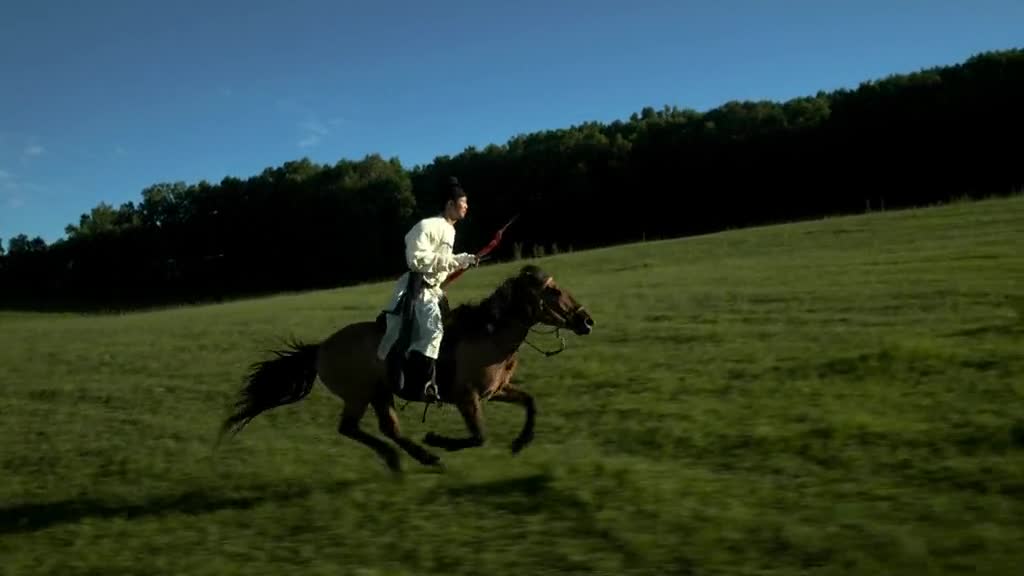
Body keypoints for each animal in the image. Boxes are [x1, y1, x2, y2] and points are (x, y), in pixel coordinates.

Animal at [220, 264, 598, 471]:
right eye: (553, 291)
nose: (587, 321)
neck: (488, 333)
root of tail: (320, 349)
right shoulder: (467, 398)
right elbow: (478, 437)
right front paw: (439, 440)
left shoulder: (497, 391)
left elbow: (530, 403)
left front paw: (521, 443)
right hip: (359, 395)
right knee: (351, 429)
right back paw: (410, 456)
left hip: (379, 393)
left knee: (386, 428)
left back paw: (417, 458)